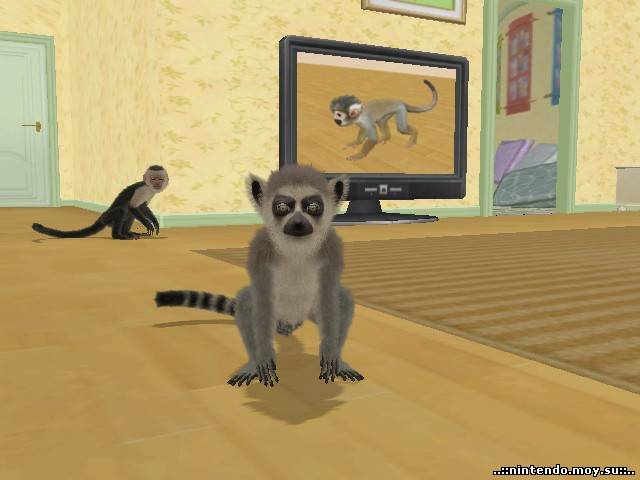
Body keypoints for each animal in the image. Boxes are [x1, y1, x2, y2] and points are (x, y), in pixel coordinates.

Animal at [32, 165, 169, 240]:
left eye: (160, 179)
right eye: (153, 179)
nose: (157, 183)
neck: (149, 188)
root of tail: (103, 216)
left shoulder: (150, 193)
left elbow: (143, 206)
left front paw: (155, 222)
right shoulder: (143, 190)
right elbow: (134, 206)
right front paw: (148, 224)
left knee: (129, 215)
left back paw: (127, 233)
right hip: (108, 217)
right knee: (123, 210)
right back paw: (119, 236)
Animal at [155, 165, 365, 388]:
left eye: (314, 207)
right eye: (282, 207)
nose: (298, 223)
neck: (296, 248)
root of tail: (293, 318)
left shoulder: (332, 248)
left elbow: (330, 295)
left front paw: (330, 350)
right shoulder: (260, 249)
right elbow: (262, 298)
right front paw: (263, 355)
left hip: (310, 310)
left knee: (343, 301)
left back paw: (339, 360)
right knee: (248, 303)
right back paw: (253, 363)